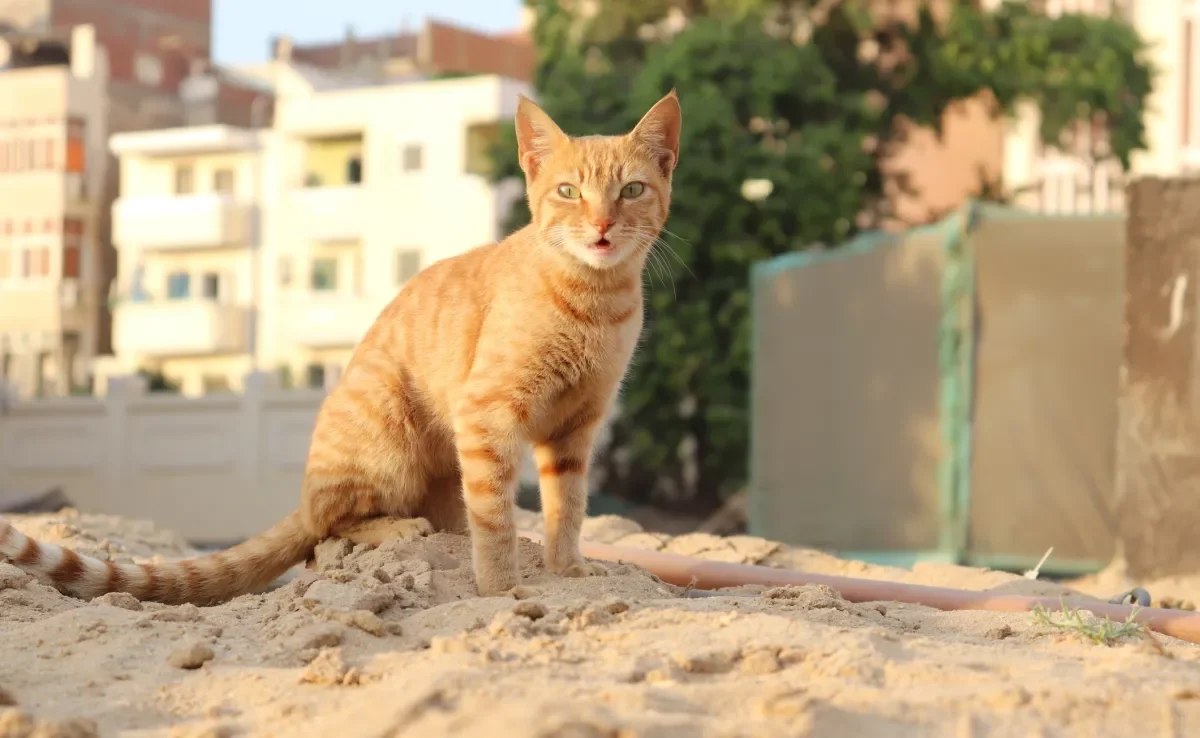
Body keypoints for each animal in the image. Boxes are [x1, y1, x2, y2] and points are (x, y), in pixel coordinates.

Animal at [0, 91, 681, 607]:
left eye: (630, 191)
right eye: (568, 192)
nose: (601, 226)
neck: (595, 301)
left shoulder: (575, 429)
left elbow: (568, 509)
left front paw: (569, 569)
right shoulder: (488, 415)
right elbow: (495, 521)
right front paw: (499, 587)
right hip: (389, 440)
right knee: (332, 527)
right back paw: (398, 526)